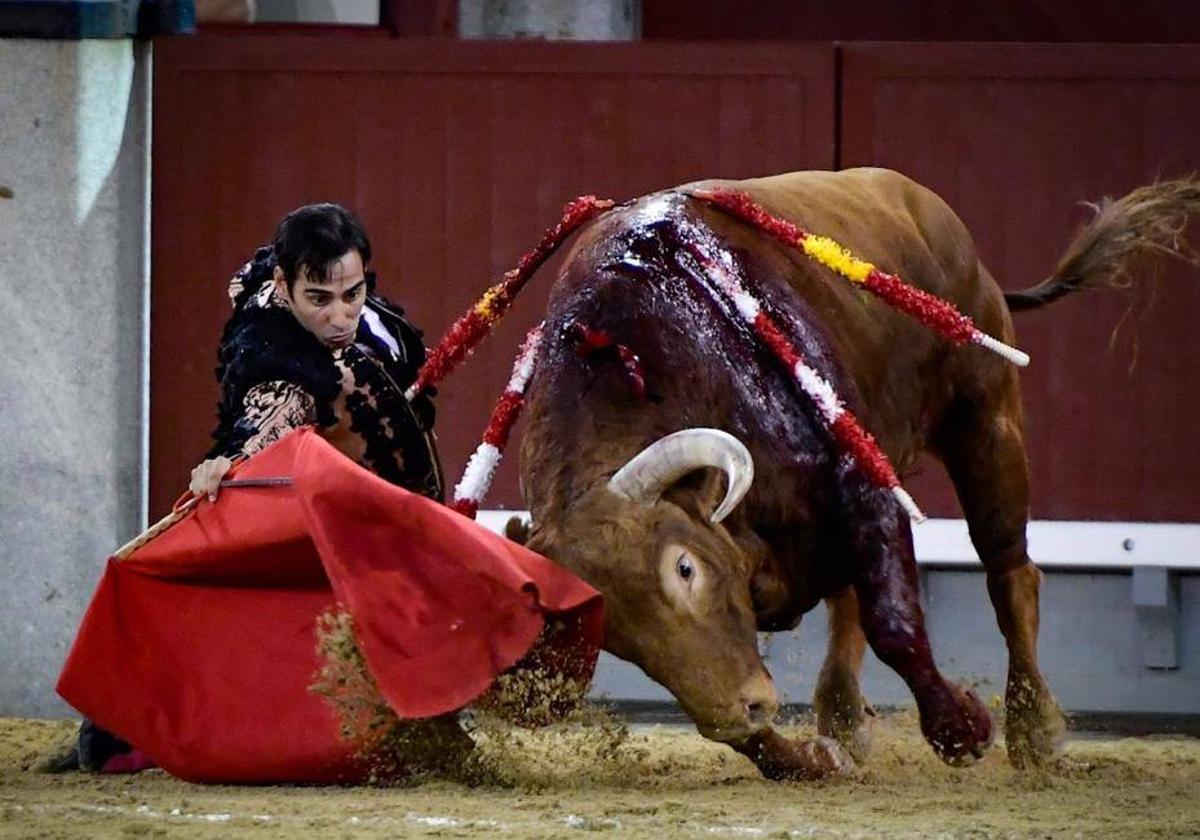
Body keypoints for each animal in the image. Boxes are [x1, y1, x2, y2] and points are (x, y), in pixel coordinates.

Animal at [518, 166, 1200, 777]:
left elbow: (894, 621)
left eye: (685, 568)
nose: (746, 706)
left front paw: (963, 729)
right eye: (615, 633)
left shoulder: (861, 480)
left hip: (988, 421)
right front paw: (810, 756)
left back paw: (1035, 731)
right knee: (850, 594)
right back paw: (844, 720)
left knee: (1009, 571)